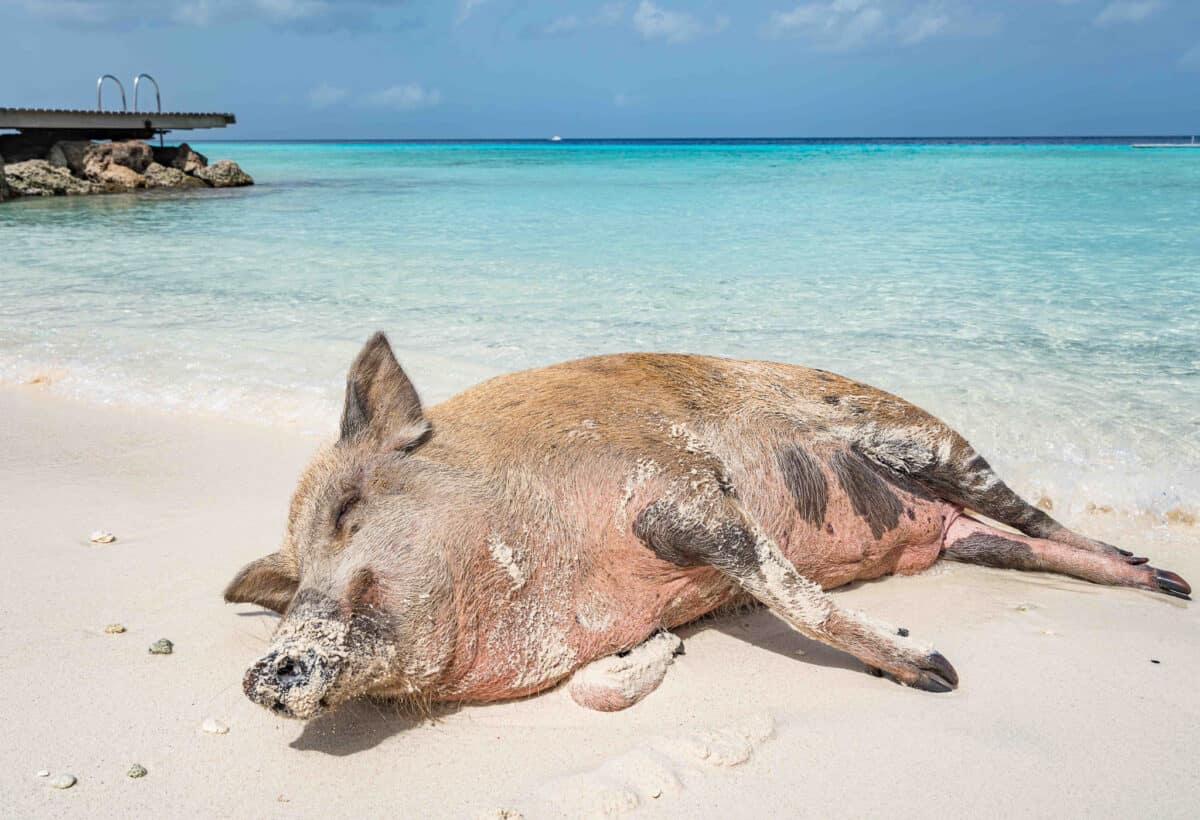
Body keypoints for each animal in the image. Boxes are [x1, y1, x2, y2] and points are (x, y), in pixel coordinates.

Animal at [225, 333, 1190, 720]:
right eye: (292, 579)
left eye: (350, 510)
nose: (262, 672)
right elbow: (598, 686)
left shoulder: (683, 493)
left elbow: (794, 595)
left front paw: (939, 675)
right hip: (960, 525)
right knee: (1007, 542)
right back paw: (1160, 578)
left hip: (930, 442)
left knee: (1041, 518)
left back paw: (1168, 581)